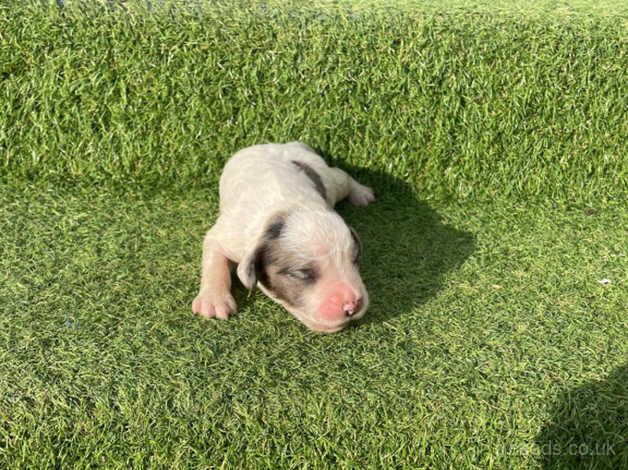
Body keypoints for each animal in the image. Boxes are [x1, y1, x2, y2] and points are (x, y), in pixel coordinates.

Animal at [191, 141, 376, 332]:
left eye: (355, 259)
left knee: (342, 176)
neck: (287, 209)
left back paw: (361, 193)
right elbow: (214, 258)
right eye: (302, 274)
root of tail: (281, 144)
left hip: (328, 179)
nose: (353, 305)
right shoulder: (228, 235)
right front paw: (213, 302)